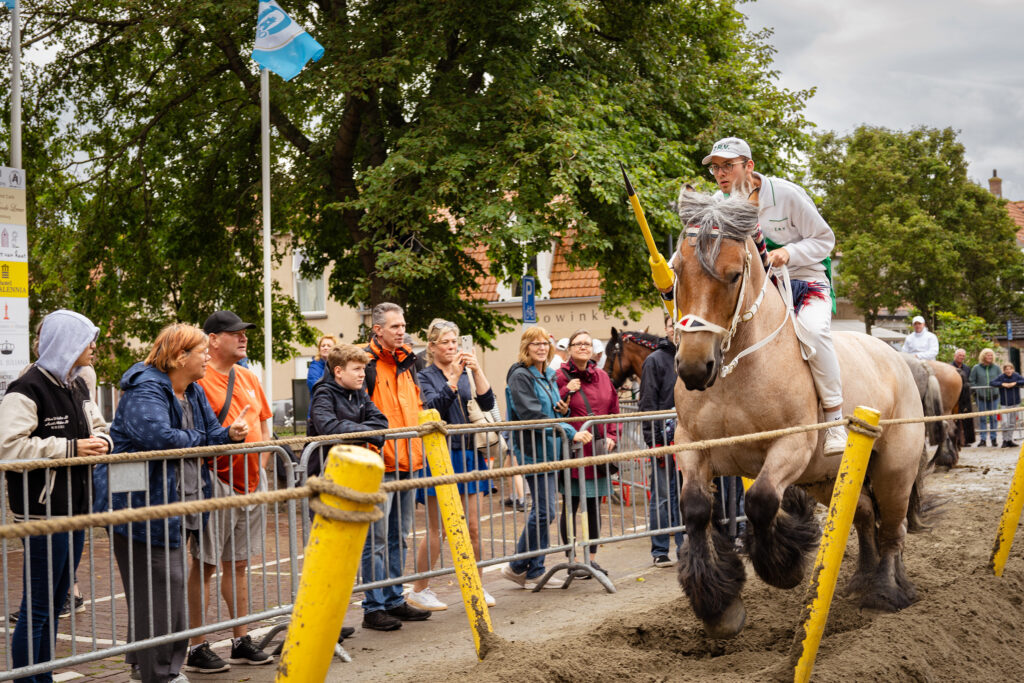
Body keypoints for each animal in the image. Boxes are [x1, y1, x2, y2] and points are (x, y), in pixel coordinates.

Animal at [667, 193, 925, 643]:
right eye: (678, 271)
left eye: (734, 275)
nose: (695, 368)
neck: (738, 368)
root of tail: (896, 358)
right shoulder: (694, 446)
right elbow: (696, 508)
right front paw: (718, 605)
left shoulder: (791, 446)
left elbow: (760, 500)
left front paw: (782, 566)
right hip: (828, 478)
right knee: (865, 517)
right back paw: (861, 580)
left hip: (895, 471)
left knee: (894, 530)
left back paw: (886, 591)